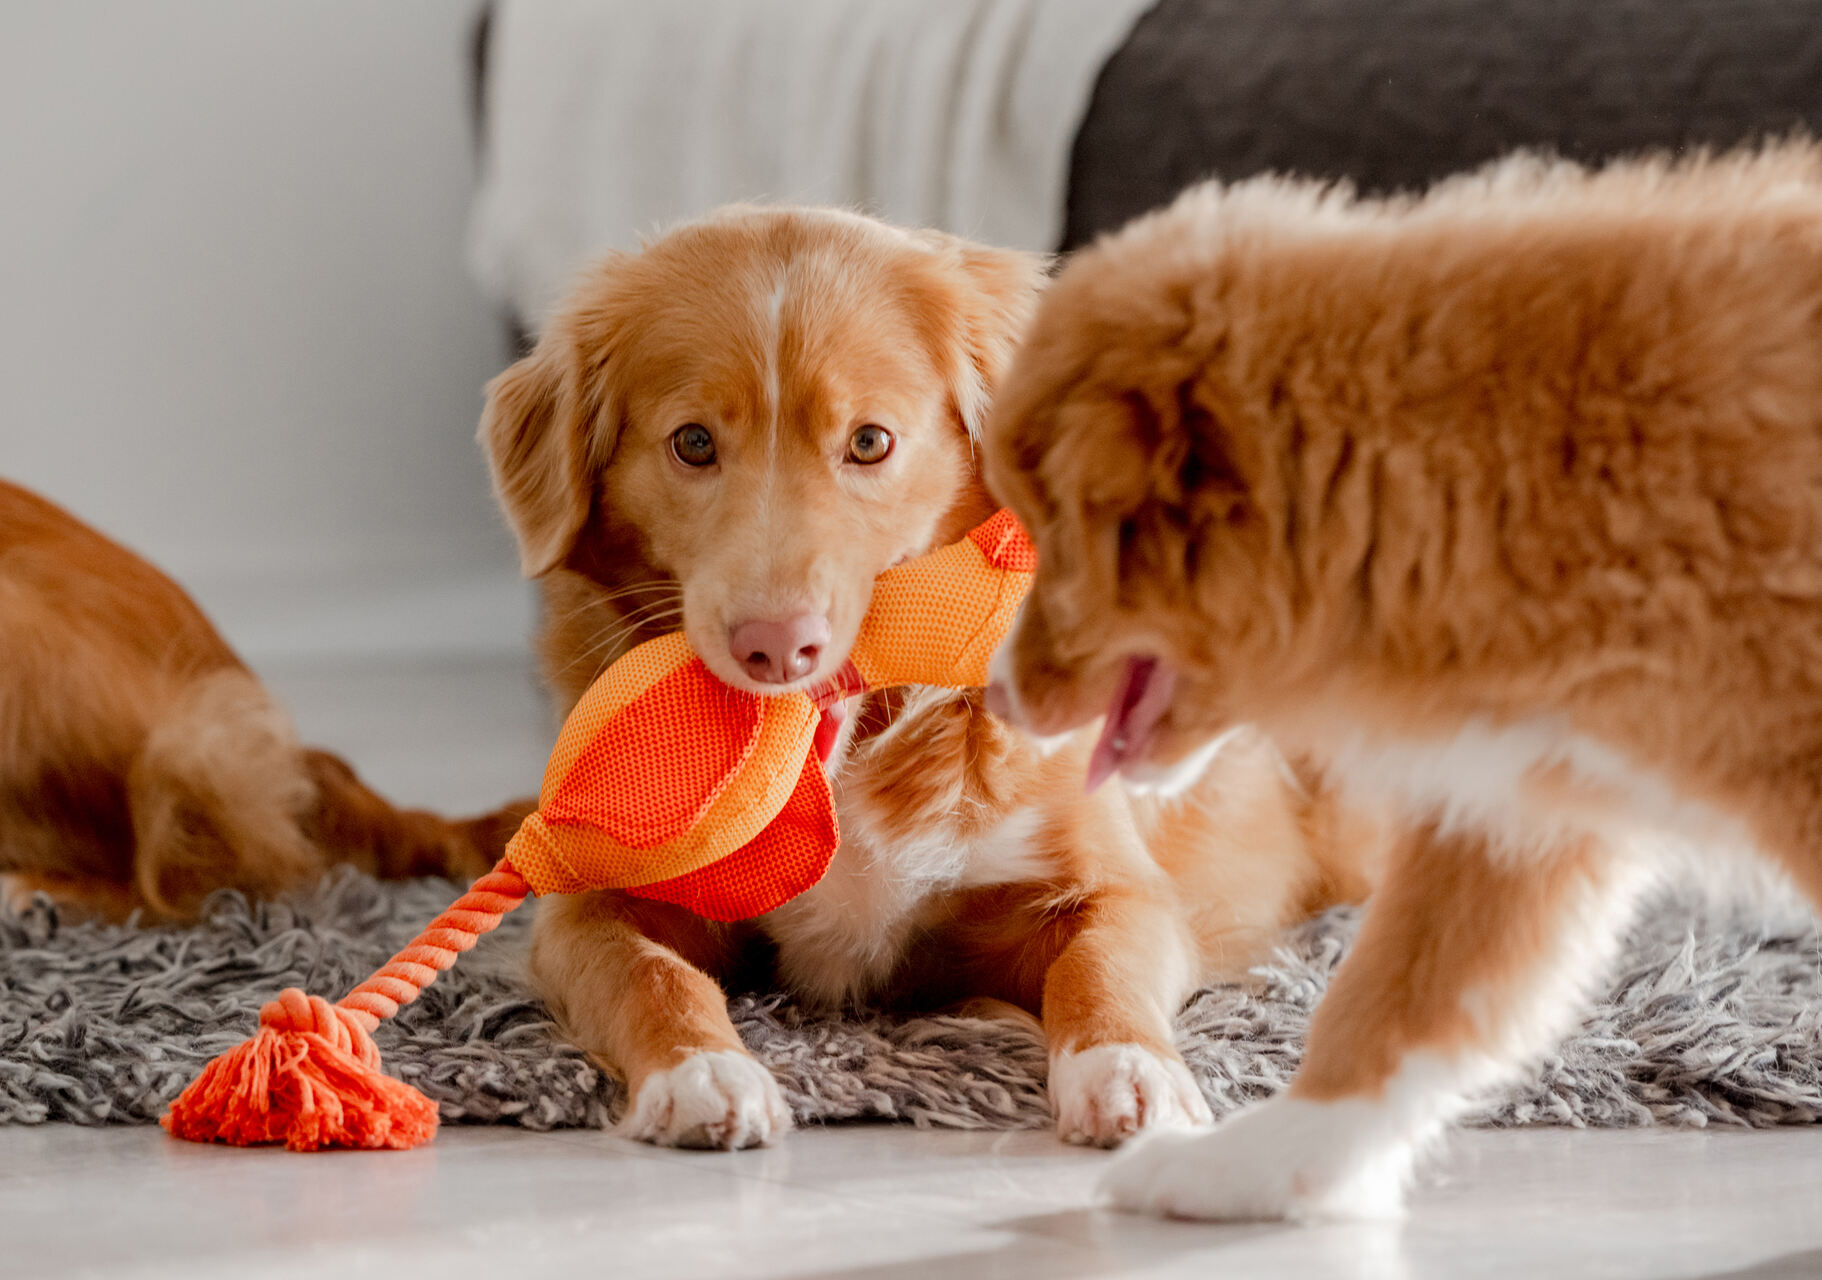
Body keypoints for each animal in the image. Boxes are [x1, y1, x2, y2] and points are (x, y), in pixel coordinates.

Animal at [477, 207, 1384, 1150]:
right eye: (692, 444)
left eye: (869, 442)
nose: (778, 647)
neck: (850, 749)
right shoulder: (594, 905)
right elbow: (650, 973)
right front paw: (700, 1071)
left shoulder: (1120, 890)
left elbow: (1100, 967)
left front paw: (1129, 1070)